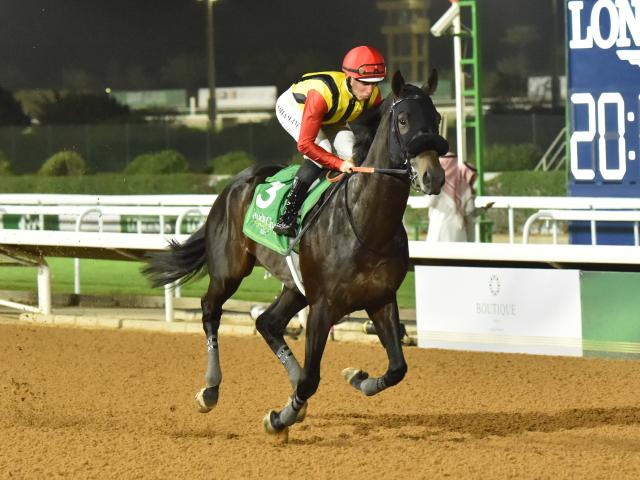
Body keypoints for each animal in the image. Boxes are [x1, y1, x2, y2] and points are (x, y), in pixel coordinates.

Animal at [142, 69, 448, 436]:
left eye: (437, 118)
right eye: (403, 120)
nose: (434, 176)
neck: (366, 223)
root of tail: (233, 184)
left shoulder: (381, 298)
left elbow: (397, 368)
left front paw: (356, 377)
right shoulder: (323, 306)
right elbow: (312, 379)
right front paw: (279, 418)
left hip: (295, 287)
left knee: (267, 322)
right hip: (230, 270)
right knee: (210, 310)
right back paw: (211, 388)